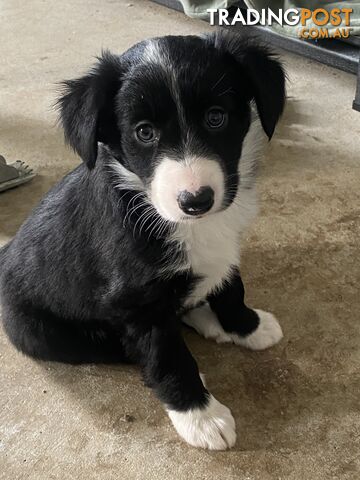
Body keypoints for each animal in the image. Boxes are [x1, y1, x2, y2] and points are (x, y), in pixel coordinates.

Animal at [0, 32, 286, 450]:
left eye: (216, 117)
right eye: (144, 132)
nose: (196, 200)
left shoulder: (225, 249)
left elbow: (232, 288)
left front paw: (245, 326)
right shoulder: (137, 301)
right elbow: (166, 356)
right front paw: (200, 416)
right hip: (41, 331)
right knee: (121, 347)